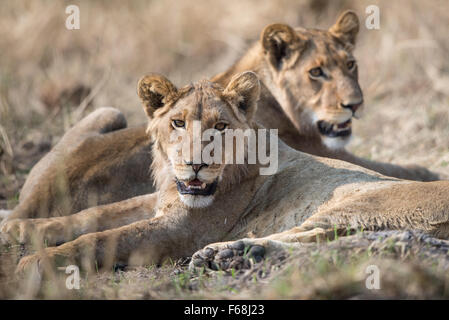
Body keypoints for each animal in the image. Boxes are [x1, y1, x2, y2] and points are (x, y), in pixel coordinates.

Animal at [0, 11, 440, 226]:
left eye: (351, 65)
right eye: (316, 72)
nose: (355, 104)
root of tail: (30, 204)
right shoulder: (326, 152)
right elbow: (393, 166)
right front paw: (428, 171)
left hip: (108, 111)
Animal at [3, 72, 448, 276]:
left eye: (220, 126)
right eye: (178, 122)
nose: (196, 163)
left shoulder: (180, 229)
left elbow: (102, 237)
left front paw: (38, 261)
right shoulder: (162, 203)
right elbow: (95, 214)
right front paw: (22, 230)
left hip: (357, 201)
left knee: (315, 239)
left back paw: (230, 253)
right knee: (333, 242)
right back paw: (235, 255)